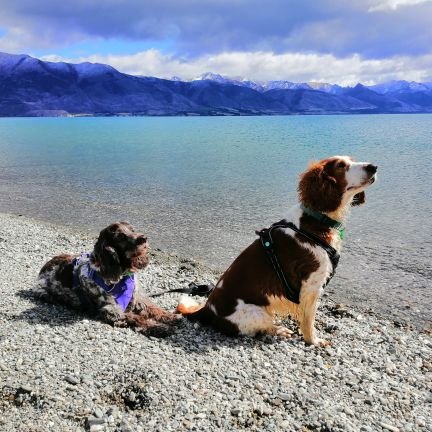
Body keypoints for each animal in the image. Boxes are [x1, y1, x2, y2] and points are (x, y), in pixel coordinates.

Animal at [36, 221, 178, 336]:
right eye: (120, 236)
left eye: (132, 229)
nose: (143, 238)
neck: (121, 275)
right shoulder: (112, 310)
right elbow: (138, 318)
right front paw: (159, 327)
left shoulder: (137, 296)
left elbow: (153, 308)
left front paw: (170, 316)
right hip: (42, 291)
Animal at [177, 157, 376, 346]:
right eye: (341, 165)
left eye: (352, 160)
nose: (373, 167)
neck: (316, 220)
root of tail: (206, 309)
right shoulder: (311, 286)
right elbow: (308, 321)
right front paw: (313, 341)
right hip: (258, 312)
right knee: (261, 328)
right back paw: (279, 330)